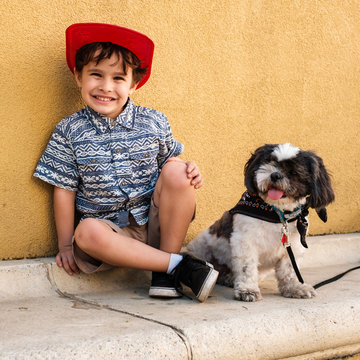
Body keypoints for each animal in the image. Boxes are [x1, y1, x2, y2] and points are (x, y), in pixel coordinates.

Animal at [188, 143, 334, 300]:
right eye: (269, 162)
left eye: (294, 172)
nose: (275, 175)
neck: (277, 215)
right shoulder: (245, 241)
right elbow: (247, 267)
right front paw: (248, 290)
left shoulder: (293, 246)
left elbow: (289, 270)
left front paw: (294, 288)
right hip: (203, 248)